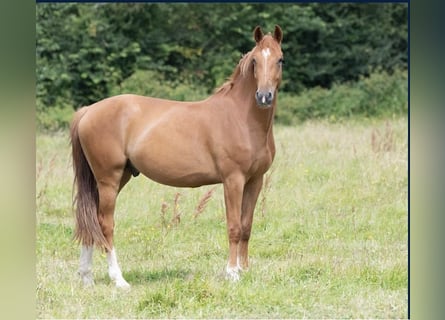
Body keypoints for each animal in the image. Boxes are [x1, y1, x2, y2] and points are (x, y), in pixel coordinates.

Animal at [70, 25, 282, 288]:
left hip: (113, 179)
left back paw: (86, 277)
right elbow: (233, 226)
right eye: (255, 61)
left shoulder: (255, 180)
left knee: (89, 221)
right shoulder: (233, 180)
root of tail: (88, 110)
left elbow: (246, 226)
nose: (264, 97)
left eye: (280, 60)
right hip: (109, 179)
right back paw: (118, 280)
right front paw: (232, 273)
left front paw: (244, 269)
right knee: (104, 224)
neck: (240, 118)